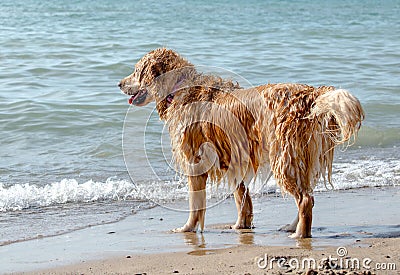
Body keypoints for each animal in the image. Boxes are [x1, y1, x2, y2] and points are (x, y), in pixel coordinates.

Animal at [117, 48, 364, 238]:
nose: (119, 83)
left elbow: (195, 204)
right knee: (308, 197)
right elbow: (241, 197)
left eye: (137, 71)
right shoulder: (231, 157)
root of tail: (311, 94)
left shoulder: (195, 160)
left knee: (304, 199)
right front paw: (241, 225)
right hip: (300, 157)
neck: (180, 88)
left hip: (284, 157)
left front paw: (187, 228)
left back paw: (300, 234)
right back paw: (292, 227)